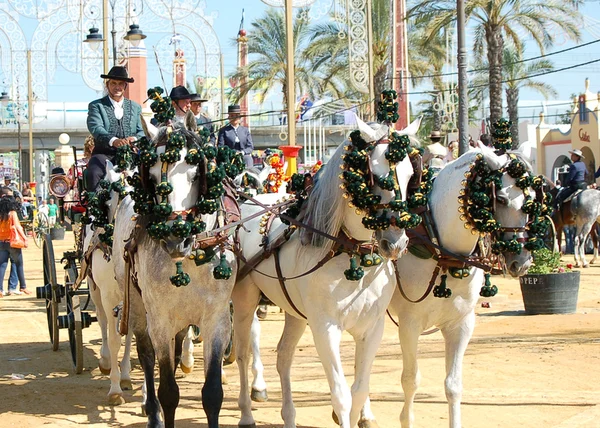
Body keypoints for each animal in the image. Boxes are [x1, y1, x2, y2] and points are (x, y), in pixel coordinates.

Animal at [112, 123, 237, 428]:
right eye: (153, 177)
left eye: (196, 175)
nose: (175, 238)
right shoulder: (159, 319)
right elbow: (168, 391)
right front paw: (157, 408)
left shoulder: (217, 319)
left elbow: (213, 393)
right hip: (137, 307)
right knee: (146, 355)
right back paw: (150, 409)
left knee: (178, 342)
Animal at [233, 120, 418, 428]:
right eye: (374, 174)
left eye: (410, 175)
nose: (396, 242)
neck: (350, 252)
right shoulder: (324, 327)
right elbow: (342, 395)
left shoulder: (373, 328)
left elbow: (360, 390)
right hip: (245, 300)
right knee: (243, 353)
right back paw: (247, 412)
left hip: (295, 312)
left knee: (283, 356)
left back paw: (289, 416)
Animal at [358, 145, 536, 428]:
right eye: (502, 199)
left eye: (532, 199)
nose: (522, 261)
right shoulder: (409, 325)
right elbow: (410, 380)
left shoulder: (461, 324)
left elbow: (453, 386)